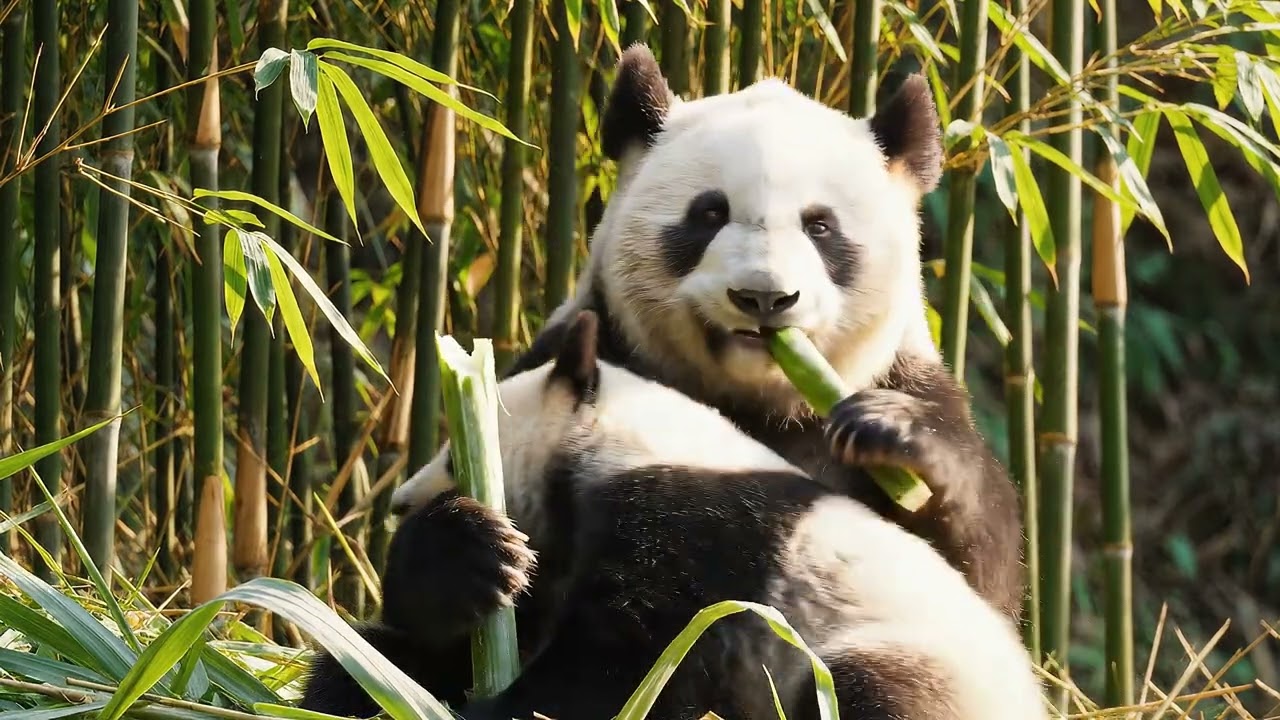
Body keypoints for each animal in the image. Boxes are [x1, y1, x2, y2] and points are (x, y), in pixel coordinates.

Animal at [305, 310, 1047, 720]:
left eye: (457, 458)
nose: (401, 502)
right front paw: (467, 556)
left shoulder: (696, 531)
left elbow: (628, 666)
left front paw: (493, 713)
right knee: (365, 659)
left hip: (916, 663)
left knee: (875, 693)